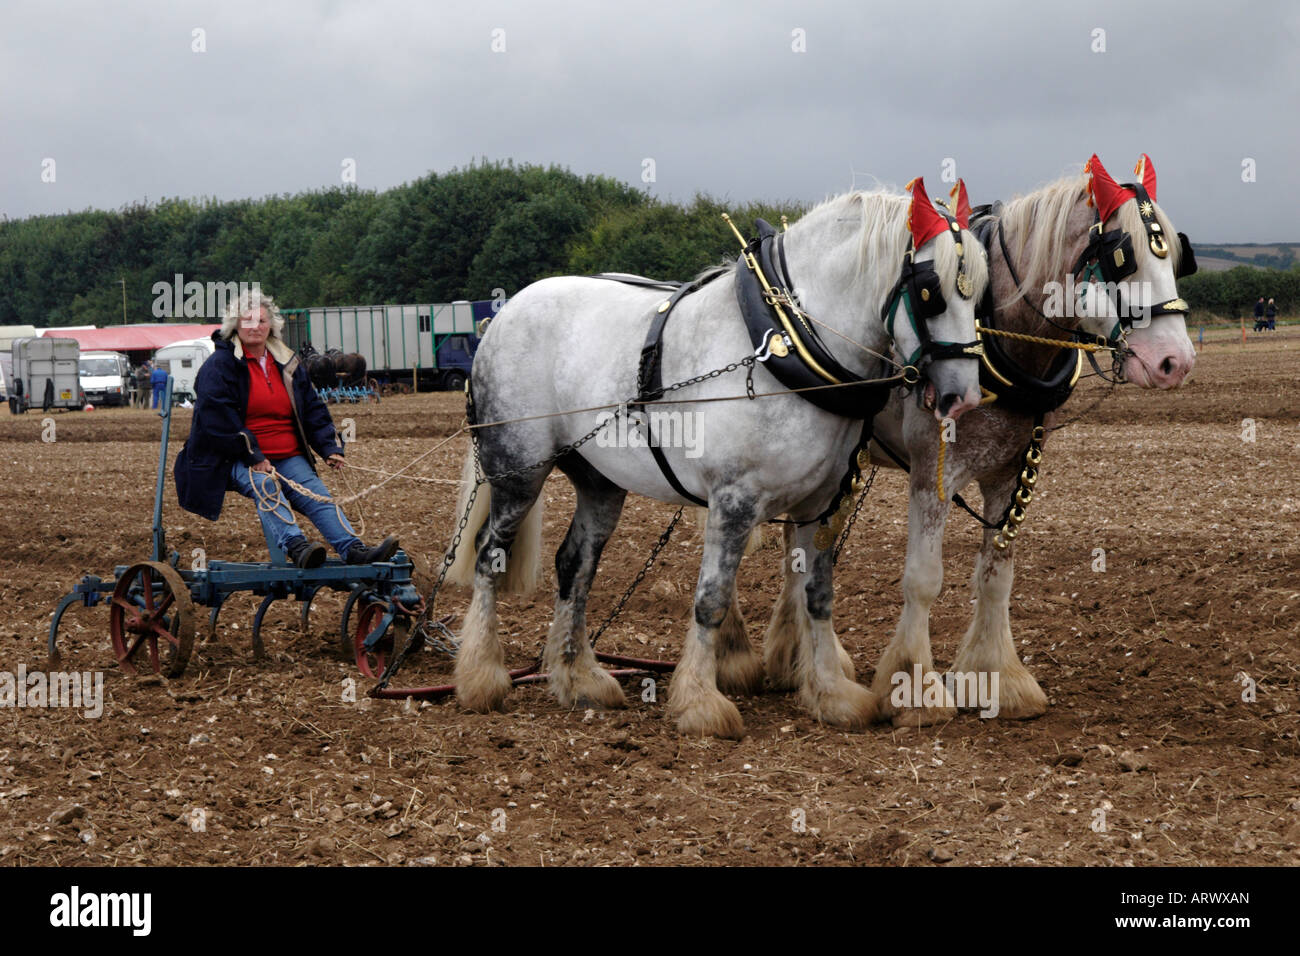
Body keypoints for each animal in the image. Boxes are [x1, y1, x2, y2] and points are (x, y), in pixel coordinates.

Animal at [444, 177, 990, 739]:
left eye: (980, 293)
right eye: (930, 291)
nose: (964, 397)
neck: (784, 341)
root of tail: (504, 313)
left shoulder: (821, 503)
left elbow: (817, 595)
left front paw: (831, 694)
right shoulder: (734, 500)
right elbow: (711, 599)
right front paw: (700, 703)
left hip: (599, 483)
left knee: (575, 565)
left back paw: (578, 678)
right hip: (519, 471)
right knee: (489, 555)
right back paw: (482, 676)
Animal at [742, 154, 1197, 725]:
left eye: (1178, 254)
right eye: (1123, 256)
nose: (1175, 362)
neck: (994, 330)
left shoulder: (1010, 471)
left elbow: (996, 574)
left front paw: (997, 677)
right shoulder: (931, 473)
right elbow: (923, 579)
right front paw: (915, 687)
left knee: (794, 551)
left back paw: (792, 660)